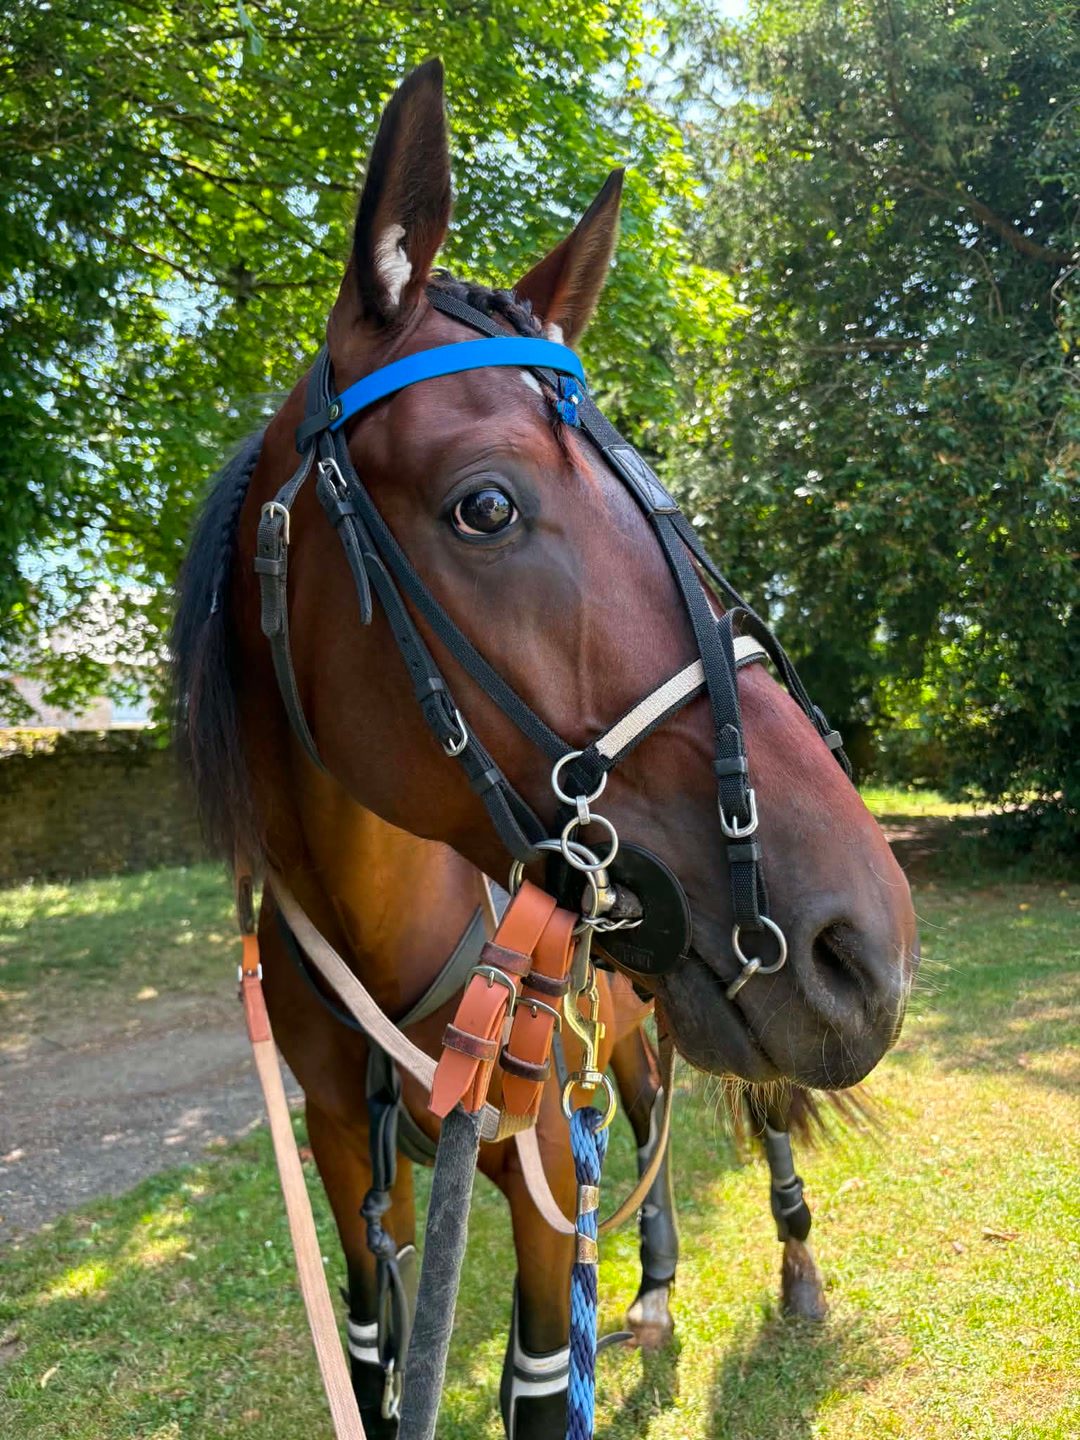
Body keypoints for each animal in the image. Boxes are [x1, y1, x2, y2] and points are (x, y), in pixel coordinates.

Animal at [172, 59, 917, 1440]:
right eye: (487, 505)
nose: (869, 943)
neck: (379, 920)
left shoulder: (522, 1171)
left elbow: (536, 1373)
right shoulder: (348, 1162)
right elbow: (377, 1354)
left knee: (757, 1124)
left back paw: (791, 1268)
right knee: (645, 1118)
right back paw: (658, 1283)